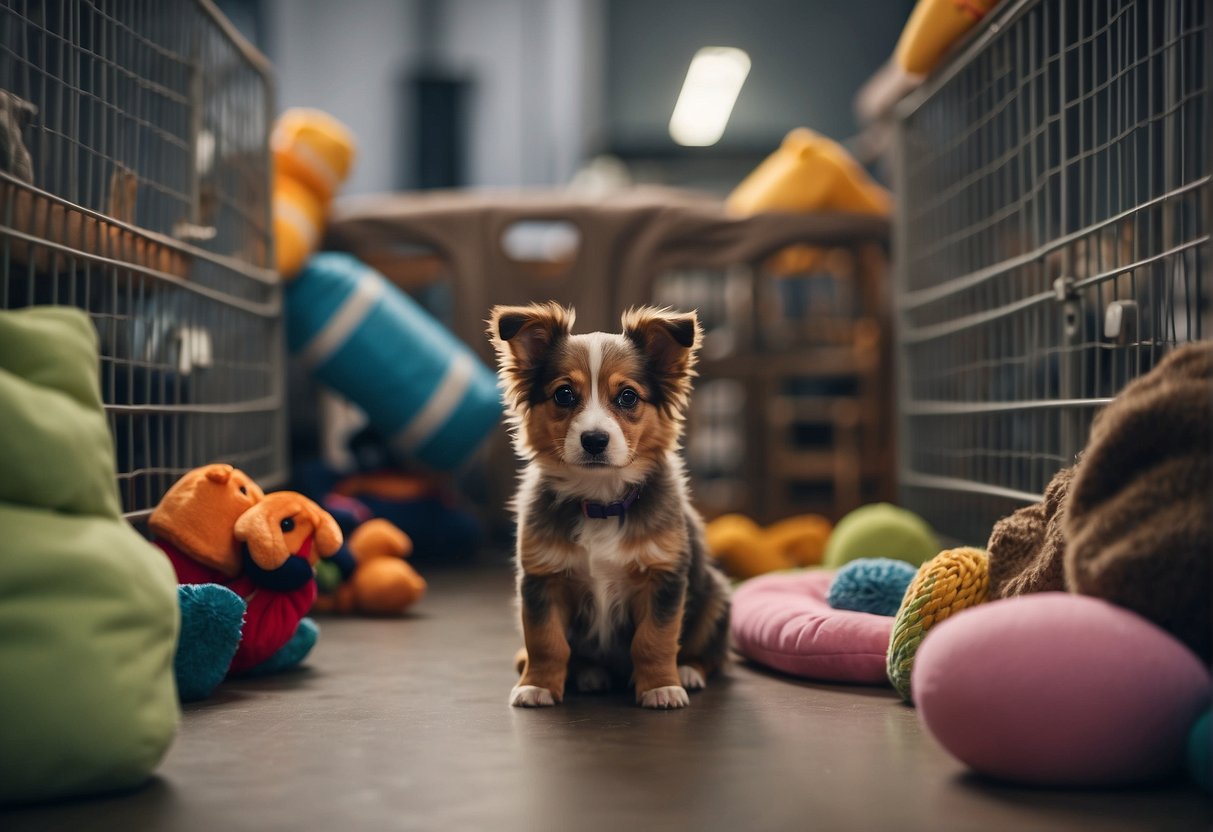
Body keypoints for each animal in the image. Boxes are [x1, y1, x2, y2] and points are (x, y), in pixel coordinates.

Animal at [485, 304, 727, 708]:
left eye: (628, 397)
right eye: (564, 395)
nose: (595, 440)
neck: (600, 499)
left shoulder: (663, 577)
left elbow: (655, 639)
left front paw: (661, 686)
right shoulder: (541, 580)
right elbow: (545, 641)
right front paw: (538, 685)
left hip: (715, 595)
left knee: (709, 653)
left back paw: (688, 671)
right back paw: (588, 673)